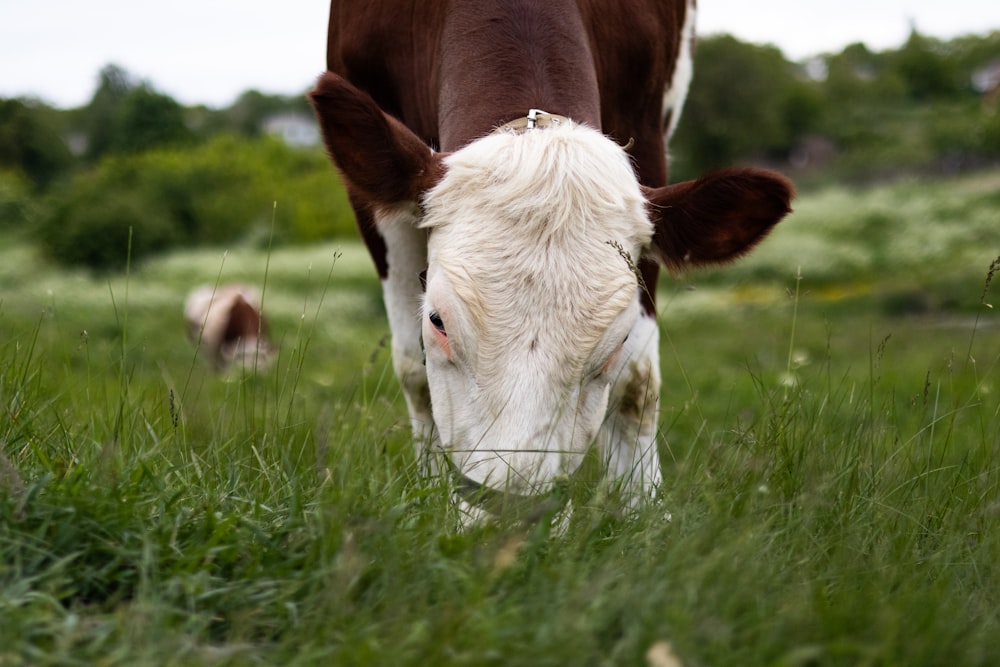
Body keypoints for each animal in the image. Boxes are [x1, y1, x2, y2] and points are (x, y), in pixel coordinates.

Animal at [308, 0, 792, 520]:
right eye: (437, 321)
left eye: (617, 340)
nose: (510, 519)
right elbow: (414, 373)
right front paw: (428, 499)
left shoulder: (647, 137)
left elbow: (637, 383)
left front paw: (640, 508)